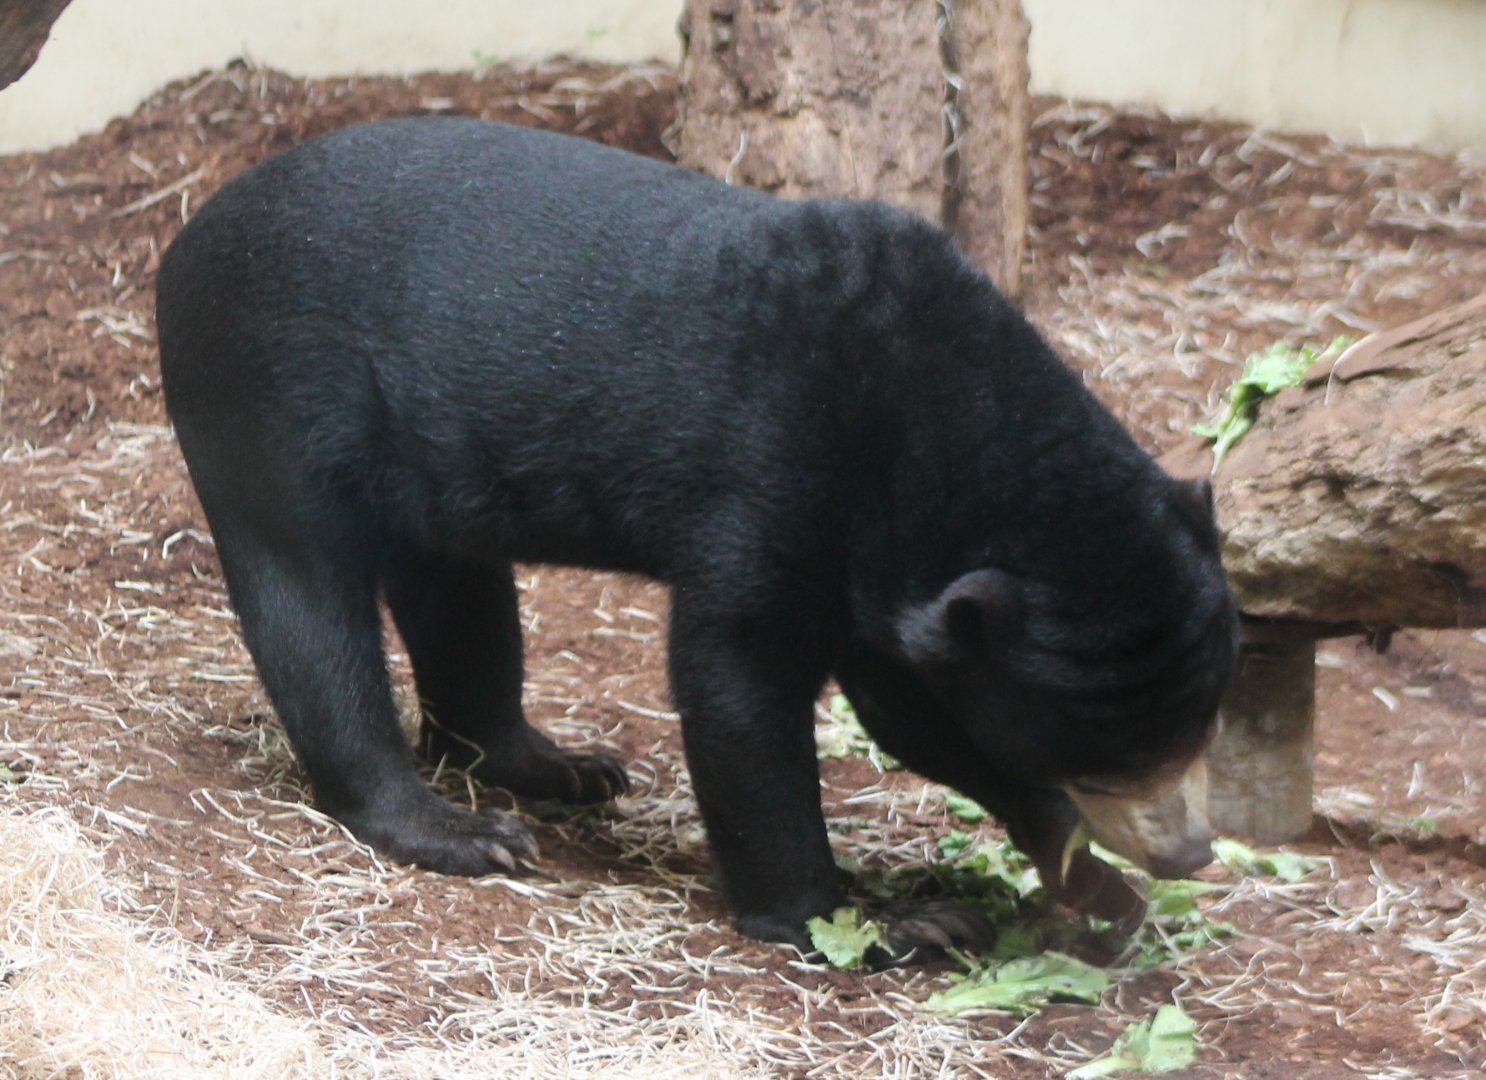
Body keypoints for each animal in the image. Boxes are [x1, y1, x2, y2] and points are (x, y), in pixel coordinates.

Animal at [155, 117, 1239, 950]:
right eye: (1098, 755)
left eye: (1201, 725)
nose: (1190, 852)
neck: (934, 420)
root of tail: (183, 240)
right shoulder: (772, 483)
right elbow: (737, 690)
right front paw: (883, 924)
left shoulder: (887, 579)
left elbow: (914, 715)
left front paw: (1098, 890)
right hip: (262, 400)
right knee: (308, 610)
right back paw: (460, 831)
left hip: (427, 465)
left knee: (462, 598)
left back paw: (556, 766)